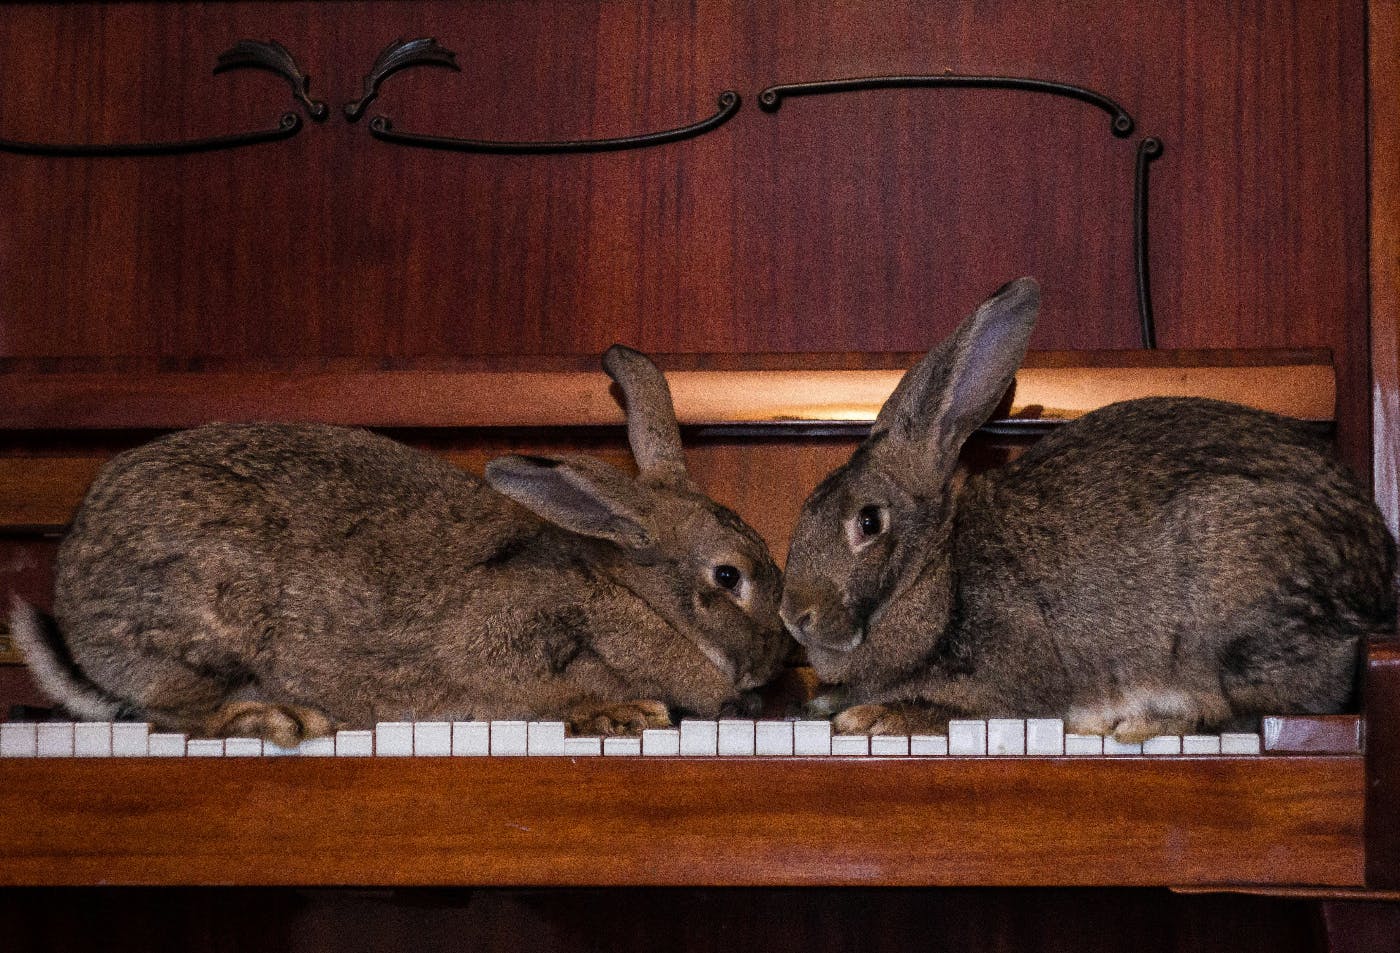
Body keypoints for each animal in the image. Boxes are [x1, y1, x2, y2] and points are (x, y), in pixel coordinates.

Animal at [13, 345, 789, 744]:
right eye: (728, 577)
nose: (769, 664)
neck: (637, 596)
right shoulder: (506, 648)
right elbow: (547, 693)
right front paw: (620, 713)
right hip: (200, 630)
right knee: (170, 713)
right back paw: (274, 717)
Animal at [784, 278, 1394, 738]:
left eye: (869, 521)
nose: (795, 616)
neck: (937, 572)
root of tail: (1375, 590)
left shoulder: (1014, 681)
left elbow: (961, 708)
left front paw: (872, 718)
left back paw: (1137, 725)